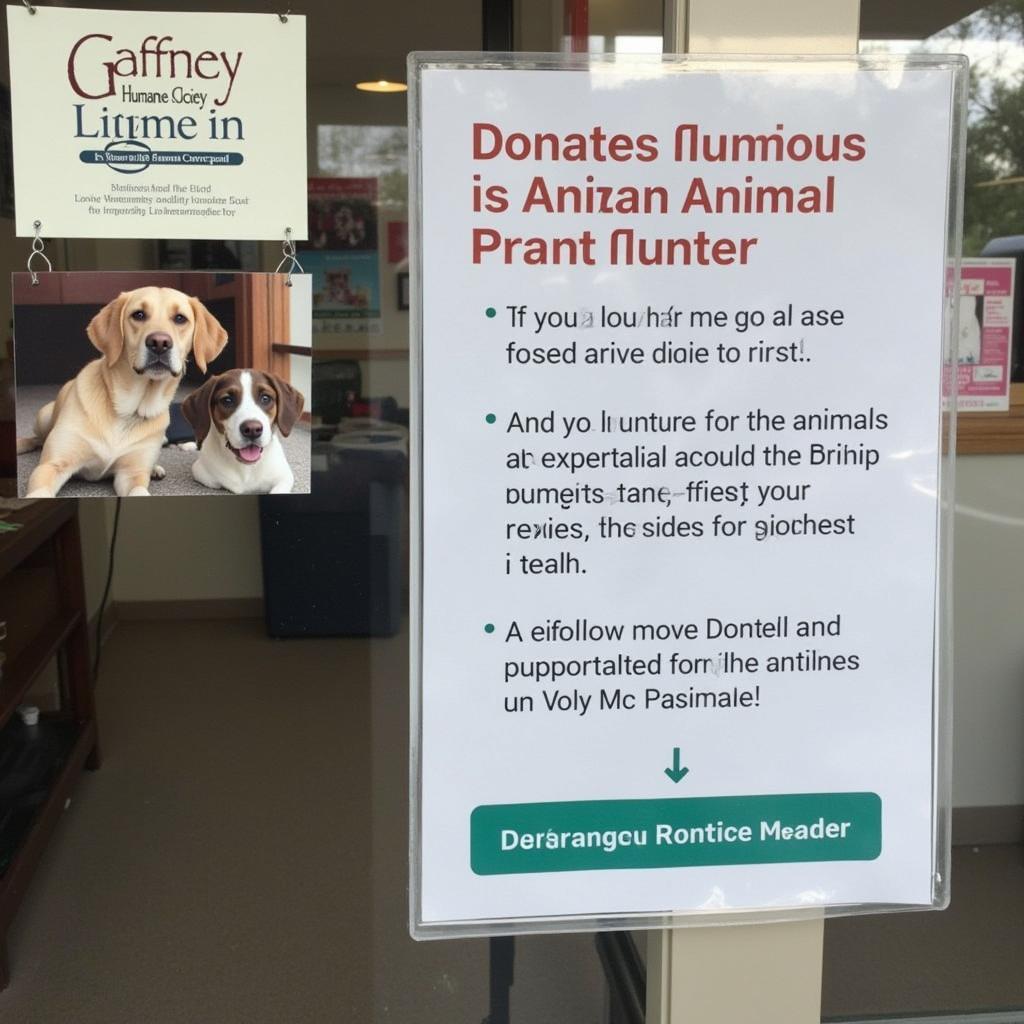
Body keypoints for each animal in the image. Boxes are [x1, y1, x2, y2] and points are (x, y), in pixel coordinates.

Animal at [17, 286, 226, 497]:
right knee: (36, 439)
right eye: (138, 315)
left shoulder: (131, 474)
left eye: (180, 318)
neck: (128, 411)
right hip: (43, 417)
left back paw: (155, 469)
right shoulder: (51, 466)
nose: (160, 343)